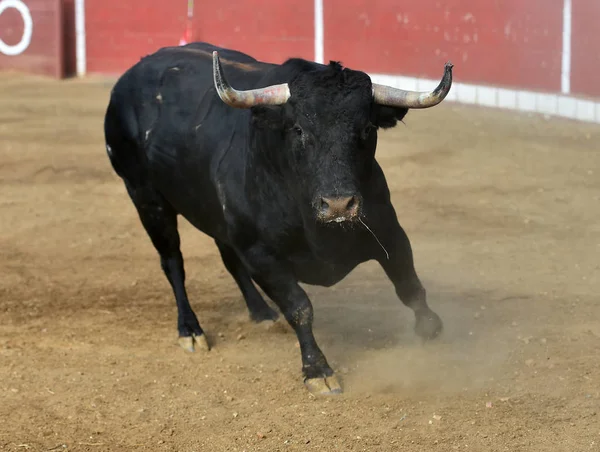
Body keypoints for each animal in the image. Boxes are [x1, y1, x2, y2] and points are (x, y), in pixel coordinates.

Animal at [103, 42, 452, 396]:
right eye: (298, 130)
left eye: (367, 129)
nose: (339, 205)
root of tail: (132, 74)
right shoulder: (261, 254)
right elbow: (299, 308)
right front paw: (317, 370)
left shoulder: (390, 231)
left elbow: (408, 285)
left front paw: (431, 328)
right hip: (146, 199)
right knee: (173, 262)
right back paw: (190, 330)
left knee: (228, 259)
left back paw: (260, 312)